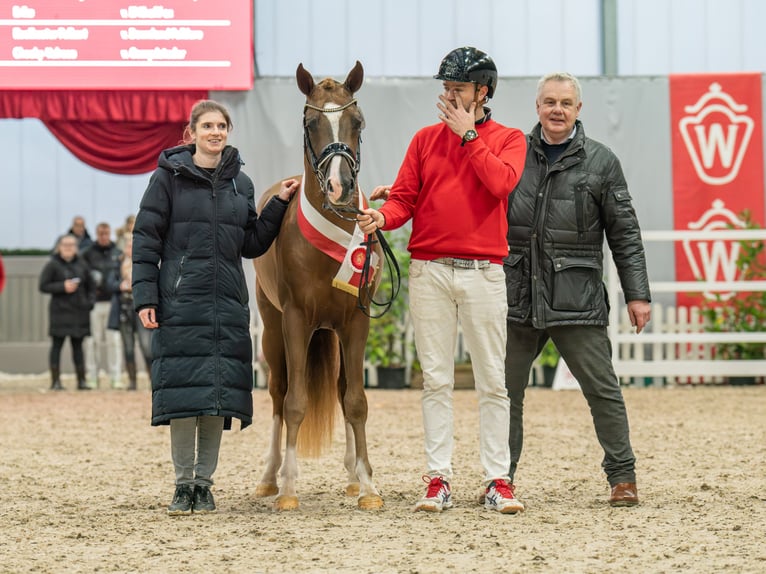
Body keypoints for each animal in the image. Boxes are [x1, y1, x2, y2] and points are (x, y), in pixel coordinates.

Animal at [255, 62, 384, 512]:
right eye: (311, 124)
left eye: (357, 121)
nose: (340, 186)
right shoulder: (295, 320)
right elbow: (294, 403)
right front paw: (289, 490)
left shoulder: (356, 323)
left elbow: (356, 401)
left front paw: (368, 486)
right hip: (271, 327)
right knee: (278, 393)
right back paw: (269, 479)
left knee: (344, 391)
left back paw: (352, 477)